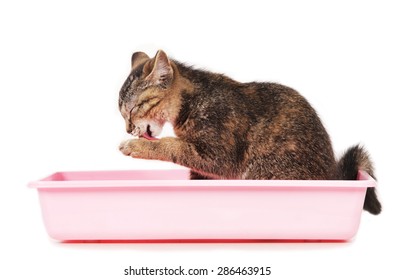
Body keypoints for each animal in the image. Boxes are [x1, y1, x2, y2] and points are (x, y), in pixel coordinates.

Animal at [117, 49, 382, 214]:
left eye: (132, 110)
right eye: (123, 114)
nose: (128, 129)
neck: (189, 103)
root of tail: (331, 176)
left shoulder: (218, 156)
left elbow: (170, 145)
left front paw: (136, 146)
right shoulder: (206, 170)